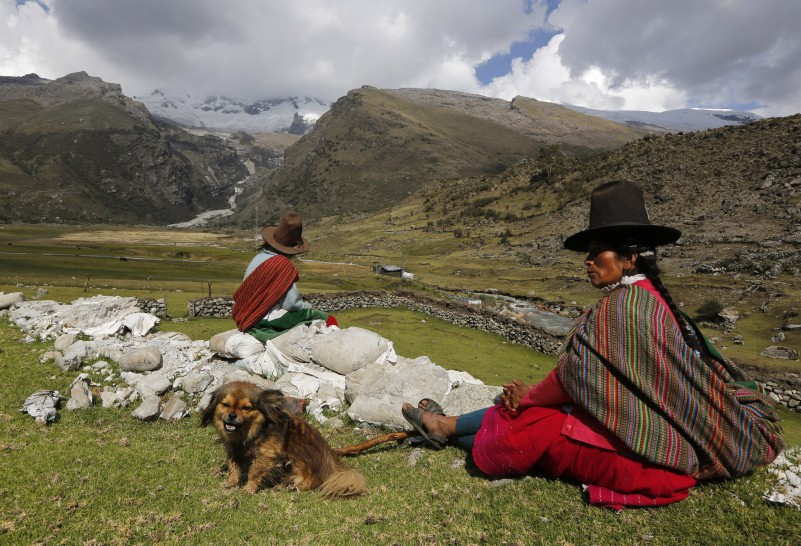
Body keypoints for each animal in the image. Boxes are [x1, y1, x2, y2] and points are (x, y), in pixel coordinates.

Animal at [200, 380, 366, 496]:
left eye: (246, 408)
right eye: (225, 404)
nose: (232, 415)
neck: (254, 431)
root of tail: (334, 467)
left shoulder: (266, 455)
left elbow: (254, 472)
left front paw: (249, 488)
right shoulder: (234, 451)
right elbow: (233, 467)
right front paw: (231, 483)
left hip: (295, 465)